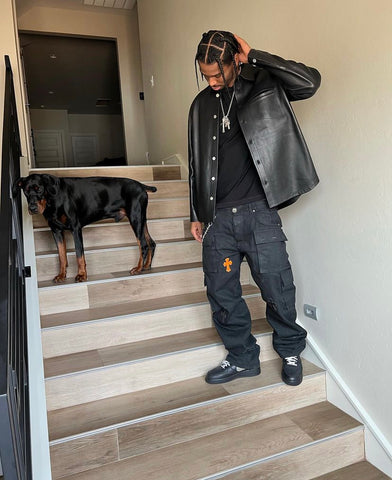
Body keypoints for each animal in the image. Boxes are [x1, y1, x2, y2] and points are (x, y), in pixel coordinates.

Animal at [14, 174, 157, 284]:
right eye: (26, 190)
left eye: (39, 189)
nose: (32, 208)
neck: (53, 200)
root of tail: (141, 186)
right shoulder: (56, 231)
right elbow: (61, 255)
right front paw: (61, 275)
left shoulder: (75, 228)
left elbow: (79, 254)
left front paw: (82, 275)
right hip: (141, 220)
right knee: (151, 243)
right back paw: (146, 266)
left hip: (135, 218)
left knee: (143, 244)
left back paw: (138, 268)